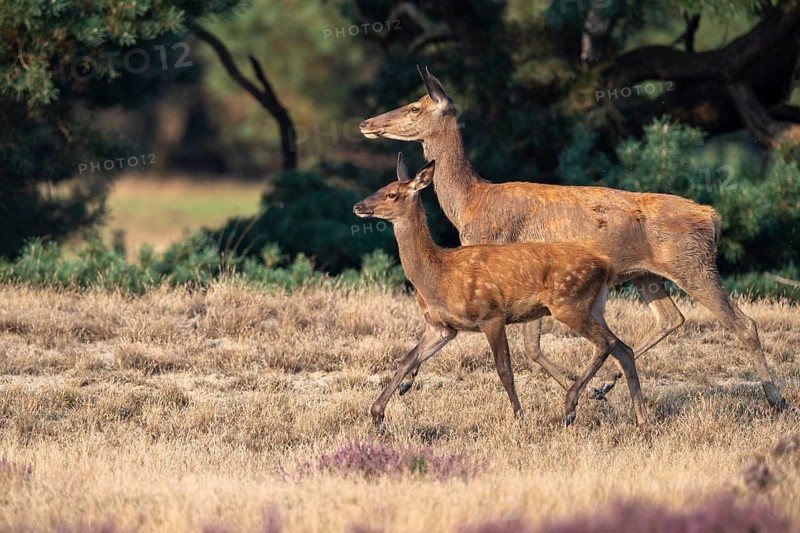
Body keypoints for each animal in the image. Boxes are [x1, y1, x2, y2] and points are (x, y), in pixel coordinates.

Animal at [353, 153, 649, 430]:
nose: (358, 205)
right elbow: (406, 360)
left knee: (606, 343)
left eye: (392, 194)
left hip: (569, 301)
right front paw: (377, 415)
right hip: (594, 305)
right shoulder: (442, 327)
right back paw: (641, 419)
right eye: (382, 186)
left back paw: (570, 406)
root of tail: (605, 265)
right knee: (624, 348)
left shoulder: (491, 314)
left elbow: (504, 370)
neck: (438, 275)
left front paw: (519, 418)